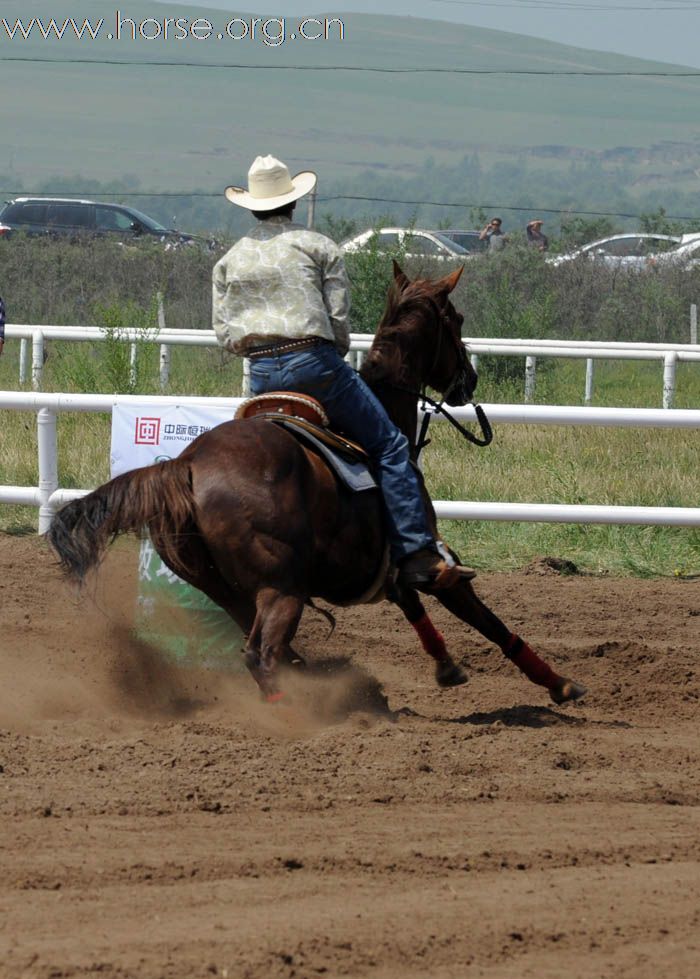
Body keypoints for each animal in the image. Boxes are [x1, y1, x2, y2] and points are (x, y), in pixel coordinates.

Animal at [46, 260, 588, 704]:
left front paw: (447, 667)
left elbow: (415, 606)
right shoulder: (433, 558)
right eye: (455, 321)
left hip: (222, 588)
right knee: (262, 654)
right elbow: (486, 618)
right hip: (280, 587)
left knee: (266, 650)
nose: (468, 382)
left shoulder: (385, 567)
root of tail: (187, 465)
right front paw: (561, 684)